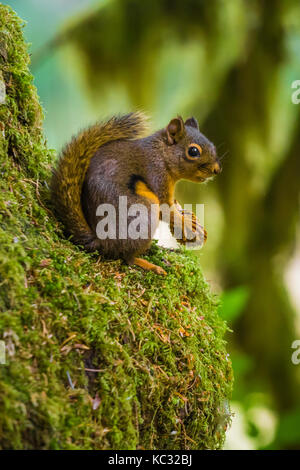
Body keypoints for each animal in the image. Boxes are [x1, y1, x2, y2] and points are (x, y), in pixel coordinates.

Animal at [51, 113, 220, 276]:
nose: (217, 170)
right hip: (144, 211)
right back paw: (149, 265)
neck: (161, 153)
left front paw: (187, 214)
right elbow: (166, 209)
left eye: (213, 145)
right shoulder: (156, 175)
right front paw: (186, 222)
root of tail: (101, 241)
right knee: (127, 257)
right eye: (193, 151)